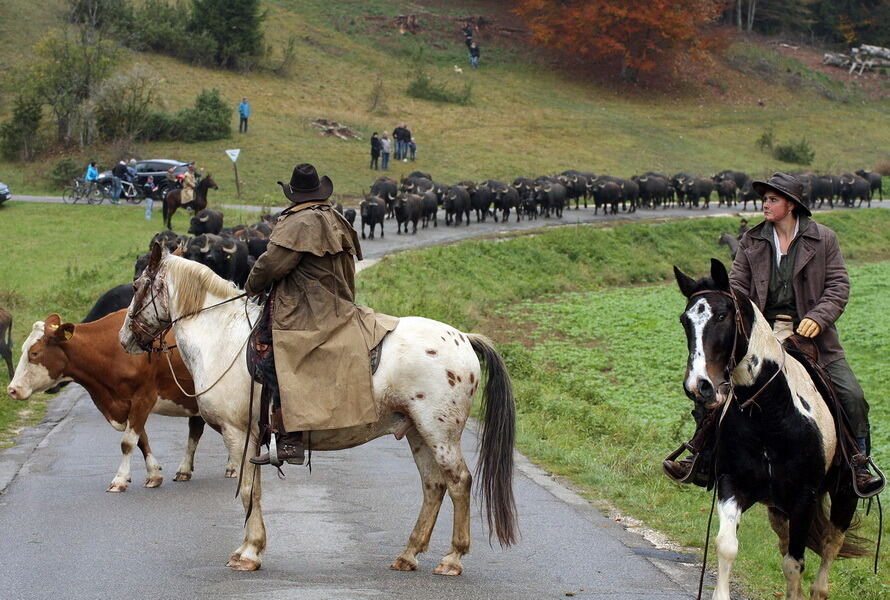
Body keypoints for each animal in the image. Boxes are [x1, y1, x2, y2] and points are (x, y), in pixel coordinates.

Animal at [7, 310, 236, 492]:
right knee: (198, 430)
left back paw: (232, 466)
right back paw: (186, 469)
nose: (12, 389)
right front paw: (153, 474)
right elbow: (141, 439)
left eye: (34, 353)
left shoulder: (143, 397)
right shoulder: (125, 405)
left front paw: (119, 479)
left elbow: (127, 442)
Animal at [119, 241, 520, 576]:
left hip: (439, 432)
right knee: (433, 486)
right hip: (417, 432)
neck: (222, 338)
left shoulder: (240, 435)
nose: (125, 339)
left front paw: (248, 553)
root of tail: (464, 338)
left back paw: (452, 558)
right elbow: (255, 490)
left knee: (458, 482)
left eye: (138, 286)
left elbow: (249, 492)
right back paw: (408, 555)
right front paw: (252, 548)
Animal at [676, 258, 864, 600]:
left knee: (829, 548)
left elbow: (795, 564)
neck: (770, 417)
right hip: (778, 508)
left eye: (722, 316)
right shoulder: (732, 484)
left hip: (845, 495)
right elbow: (726, 546)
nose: (699, 386)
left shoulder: (804, 497)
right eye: (685, 321)